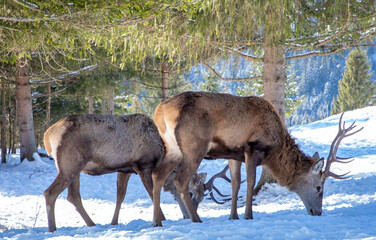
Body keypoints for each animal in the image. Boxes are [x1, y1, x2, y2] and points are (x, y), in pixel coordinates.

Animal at [151, 91, 362, 226]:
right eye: (319, 187)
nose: (317, 212)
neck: (275, 148)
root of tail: (160, 110)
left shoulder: (233, 154)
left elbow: (236, 184)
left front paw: (233, 216)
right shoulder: (252, 148)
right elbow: (250, 182)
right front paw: (248, 215)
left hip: (172, 148)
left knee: (157, 177)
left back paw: (157, 222)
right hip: (194, 146)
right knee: (180, 180)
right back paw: (196, 219)